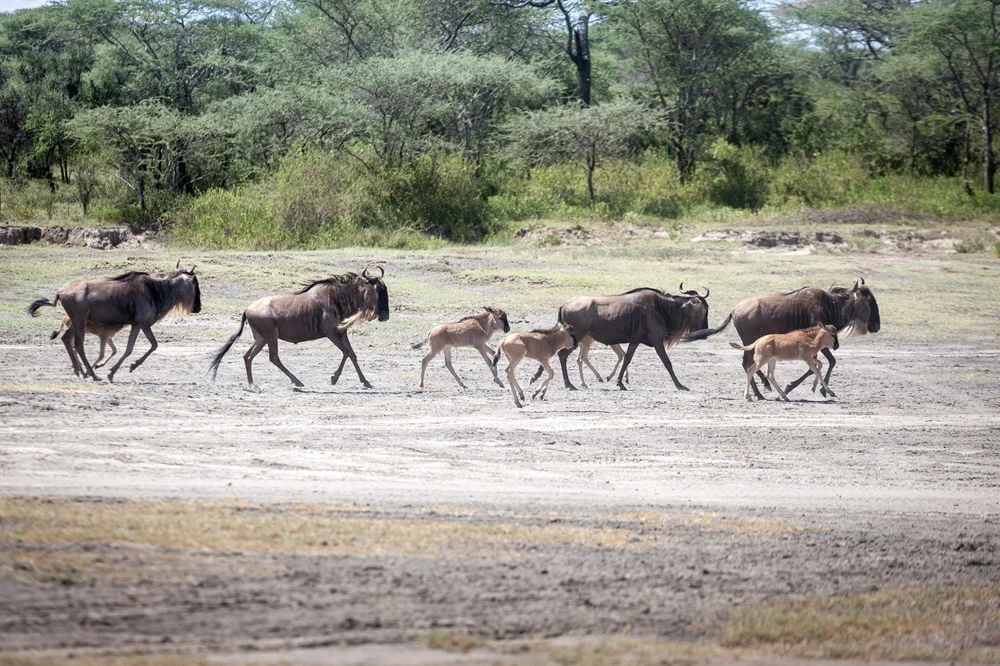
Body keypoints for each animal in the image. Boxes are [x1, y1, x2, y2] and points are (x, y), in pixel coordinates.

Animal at [27, 265, 202, 382]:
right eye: (195, 284)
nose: (198, 307)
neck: (156, 290)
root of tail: (60, 291)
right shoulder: (141, 324)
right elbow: (139, 347)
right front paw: (119, 370)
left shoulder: (139, 325)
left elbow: (146, 346)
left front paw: (122, 369)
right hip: (80, 321)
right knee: (78, 344)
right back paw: (92, 374)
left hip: (77, 323)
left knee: (66, 339)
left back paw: (80, 371)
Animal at [208, 266, 389, 392]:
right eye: (377, 290)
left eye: (385, 289)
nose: (385, 316)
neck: (337, 298)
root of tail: (247, 309)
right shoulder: (331, 333)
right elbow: (345, 352)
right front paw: (334, 378)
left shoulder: (341, 333)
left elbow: (352, 354)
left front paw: (366, 382)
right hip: (270, 336)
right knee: (273, 358)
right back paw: (297, 381)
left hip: (261, 338)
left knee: (247, 356)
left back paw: (253, 385)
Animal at [534, 285, 711, 391]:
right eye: (704, 308)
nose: (705, 332)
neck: (662, 309)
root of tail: (564, 304)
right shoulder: (657, 342)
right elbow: (667, 363)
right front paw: (680, 385)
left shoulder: (635, 341)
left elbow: (627, 359)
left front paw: (619, 383)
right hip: (576, 339)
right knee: (563, 355)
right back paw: (569, 384)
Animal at [685, 278, 880, 399]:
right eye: (869, 299)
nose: (877, 326)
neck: (830, 305)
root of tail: (735, 309)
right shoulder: (819, 345)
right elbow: (825, 364)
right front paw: (796, 387)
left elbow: (822, 365)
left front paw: (818, 389)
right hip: (751, 340)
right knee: (747, 364)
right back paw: (760, 392)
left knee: (748, 364)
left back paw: (762, 389)